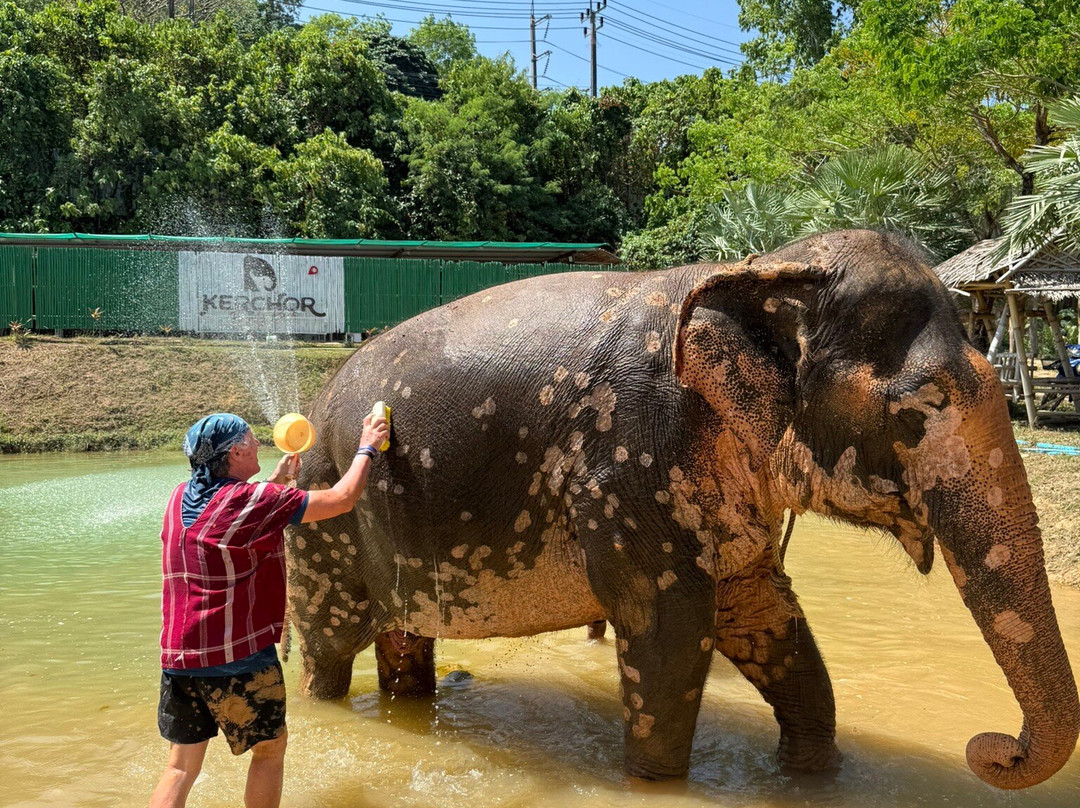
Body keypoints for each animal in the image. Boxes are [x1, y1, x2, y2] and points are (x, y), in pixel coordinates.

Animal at [286, 229, 1079, 789]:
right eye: (919, 409)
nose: (992, 748)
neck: (762, 266)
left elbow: (761, 611)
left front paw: (813, 772)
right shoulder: (628, 465)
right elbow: (669, 626)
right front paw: (656, 782)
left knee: (405, 642)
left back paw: (408, 712)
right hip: (320, 533)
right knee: (329, 652)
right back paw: (326, 709)